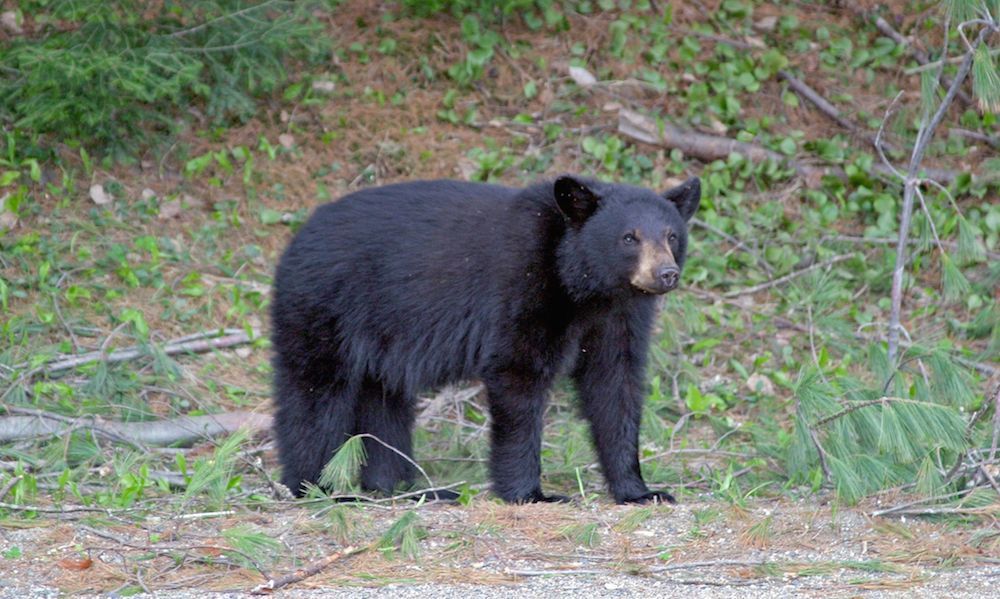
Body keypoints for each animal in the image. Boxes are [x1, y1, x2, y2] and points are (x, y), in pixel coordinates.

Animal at [270, 174, 700, 504]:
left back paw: (404, 487)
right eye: (629, 238)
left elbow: (615, 386)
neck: (585, 287)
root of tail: (298, 236)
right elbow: (518, 374)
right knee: (315, 394)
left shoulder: (618, 318)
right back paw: (320, 487)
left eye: (671, 236)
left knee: (384, 400)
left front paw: (640, 490)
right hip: (326, 308)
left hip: (382, 337)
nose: (666, 274)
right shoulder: (523, 288)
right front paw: (530, 493)